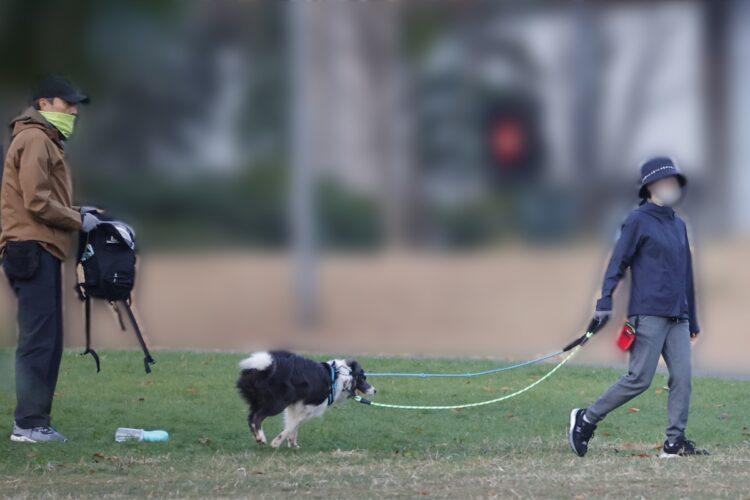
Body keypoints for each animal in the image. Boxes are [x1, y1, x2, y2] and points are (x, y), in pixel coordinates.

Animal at [236, 350, 376, 448]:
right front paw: (277, 442)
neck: (339, 376)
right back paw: (261, 437)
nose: (375, 390)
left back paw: (257, 436)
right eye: (363, 378)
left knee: (250, 417)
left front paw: (293, 444)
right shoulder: (309, 407)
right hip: (277, 402)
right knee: (257, 417)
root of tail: (264, 367)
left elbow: (293, 425)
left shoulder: (295, 406)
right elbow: (293, 425)